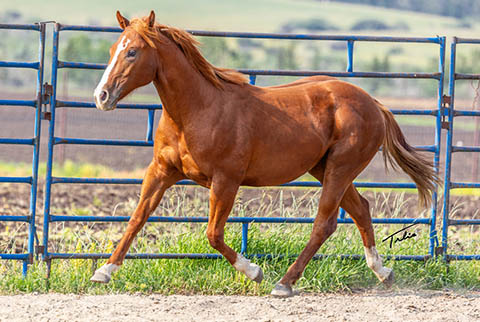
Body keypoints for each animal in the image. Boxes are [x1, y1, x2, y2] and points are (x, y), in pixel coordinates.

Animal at [91, 10, 438, 296]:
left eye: (132, 52)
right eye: (112, 50)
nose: (101, 96)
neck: (197, 110)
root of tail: (374, 104)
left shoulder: (226, 180)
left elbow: (213, 234)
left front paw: (254, 272)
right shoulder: (161, 171)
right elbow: (136, 219)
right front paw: (104, 271)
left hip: (341, 168)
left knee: (324, 223)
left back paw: (284, 284)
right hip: (325, 169)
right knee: (361, 210)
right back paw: (383, 273)